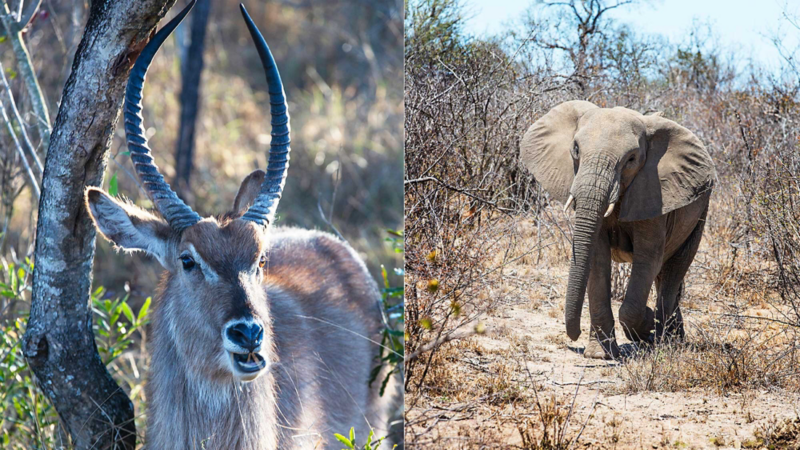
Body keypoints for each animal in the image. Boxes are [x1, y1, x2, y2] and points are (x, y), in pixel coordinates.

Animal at [520, 100, 715, 359]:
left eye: (631, 159)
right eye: (576, 149)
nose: (574, 335)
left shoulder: (655, 193)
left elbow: (648, 259)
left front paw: (647, 324)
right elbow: (597, 258)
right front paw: (599, 355)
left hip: (701, 207)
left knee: (675, 268)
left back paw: (666, 341)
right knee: (664, 276)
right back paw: (671, 338)